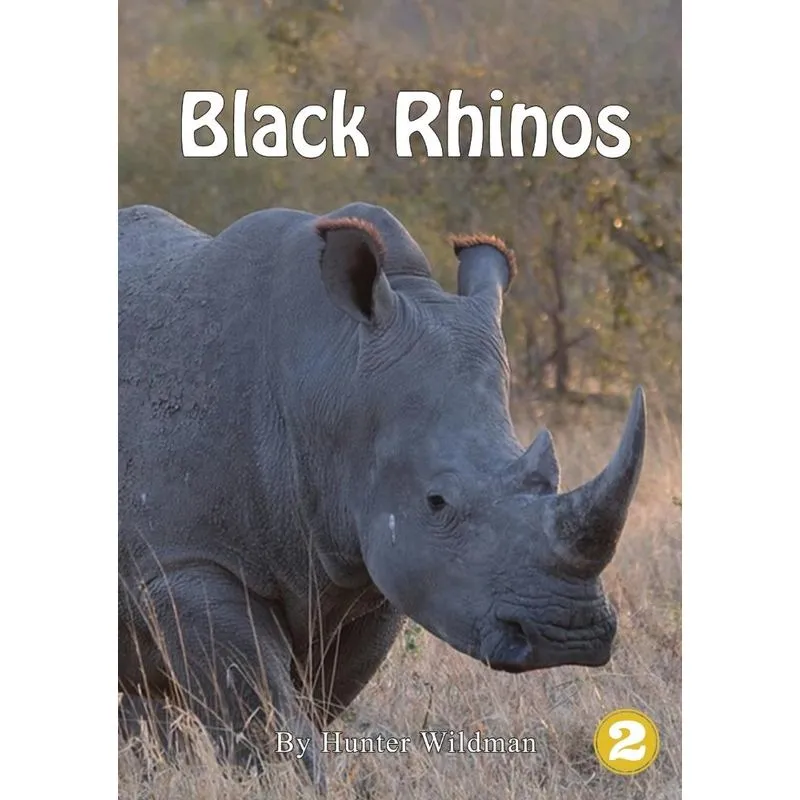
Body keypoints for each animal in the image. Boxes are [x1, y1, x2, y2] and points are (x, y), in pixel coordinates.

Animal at [118, 202, 646, 790]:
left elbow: (311, 705)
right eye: (437, 501)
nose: (568, 634)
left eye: (548, 480)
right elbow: (266, 717)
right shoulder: (187, 564)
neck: (326, 374)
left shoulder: (367, 573)